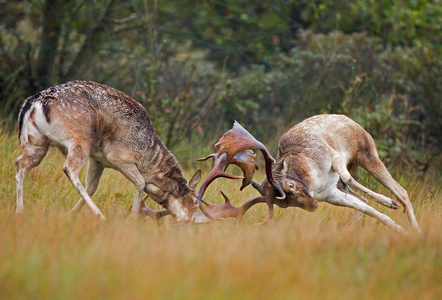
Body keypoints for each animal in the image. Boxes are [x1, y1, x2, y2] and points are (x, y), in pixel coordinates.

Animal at [15, 79, 212, 223]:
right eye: (195, 202)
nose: (188, 220)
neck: (149, 160)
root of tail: (34, 103)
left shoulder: (99, 160)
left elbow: (92, 187)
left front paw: (70, 213)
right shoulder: (120, 158)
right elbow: (140, 182)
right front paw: (132, 218)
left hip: (36, 142)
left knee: (20, 164)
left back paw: (20, 210)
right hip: (81, 140)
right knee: (69, 168)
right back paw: (100, 215)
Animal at [193, 115, 422, 234]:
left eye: (291, 186)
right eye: (285, 204)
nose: (312, 205)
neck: (313, 177)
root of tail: (351, 120)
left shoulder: (334, 157)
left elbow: (350, 180)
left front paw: (389, 203)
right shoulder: (330, 194)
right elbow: (366, 207)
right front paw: (397, 227)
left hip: (367, 153)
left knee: (402, 191)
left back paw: (414, 225)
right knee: (363, 198)